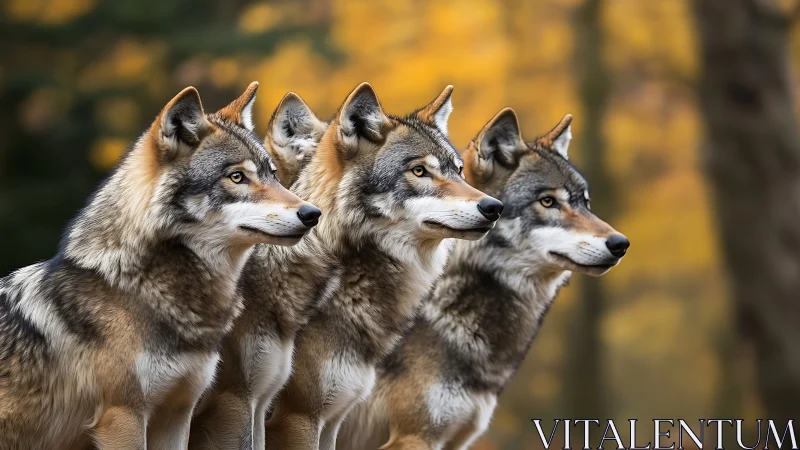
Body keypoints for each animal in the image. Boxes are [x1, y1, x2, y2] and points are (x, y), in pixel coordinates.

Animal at [0, 82, 318, 450]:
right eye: (237, 177)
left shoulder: (177, 413)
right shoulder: (122, 417)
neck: (141, 288)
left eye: (273, 175)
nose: (312, 214)